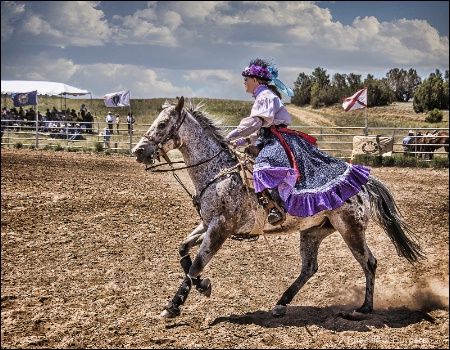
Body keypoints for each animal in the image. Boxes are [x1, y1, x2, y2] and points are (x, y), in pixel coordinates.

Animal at [132, 97, 424, 318]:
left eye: (162, 124)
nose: (138, 151)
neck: (218, 172)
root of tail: (362, 183)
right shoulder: (207, 224)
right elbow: (183, 251)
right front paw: (187, 295)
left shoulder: (220, 228)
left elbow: (196, 265)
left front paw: (188, 296)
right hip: (313, 231)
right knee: (310, 268)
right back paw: (282, 302)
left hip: (351, 229)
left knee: (369, 262)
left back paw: (364, 308)